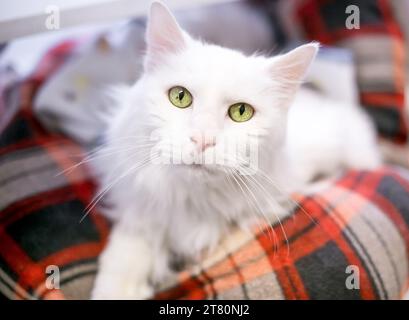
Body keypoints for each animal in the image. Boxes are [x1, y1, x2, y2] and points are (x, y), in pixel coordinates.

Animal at [91, 1, 380, 298]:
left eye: (241, 112)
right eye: (180, 97)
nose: (202, 139)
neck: (193, 200)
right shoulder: (140, 208)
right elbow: (127, 248)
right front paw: (117, 287)